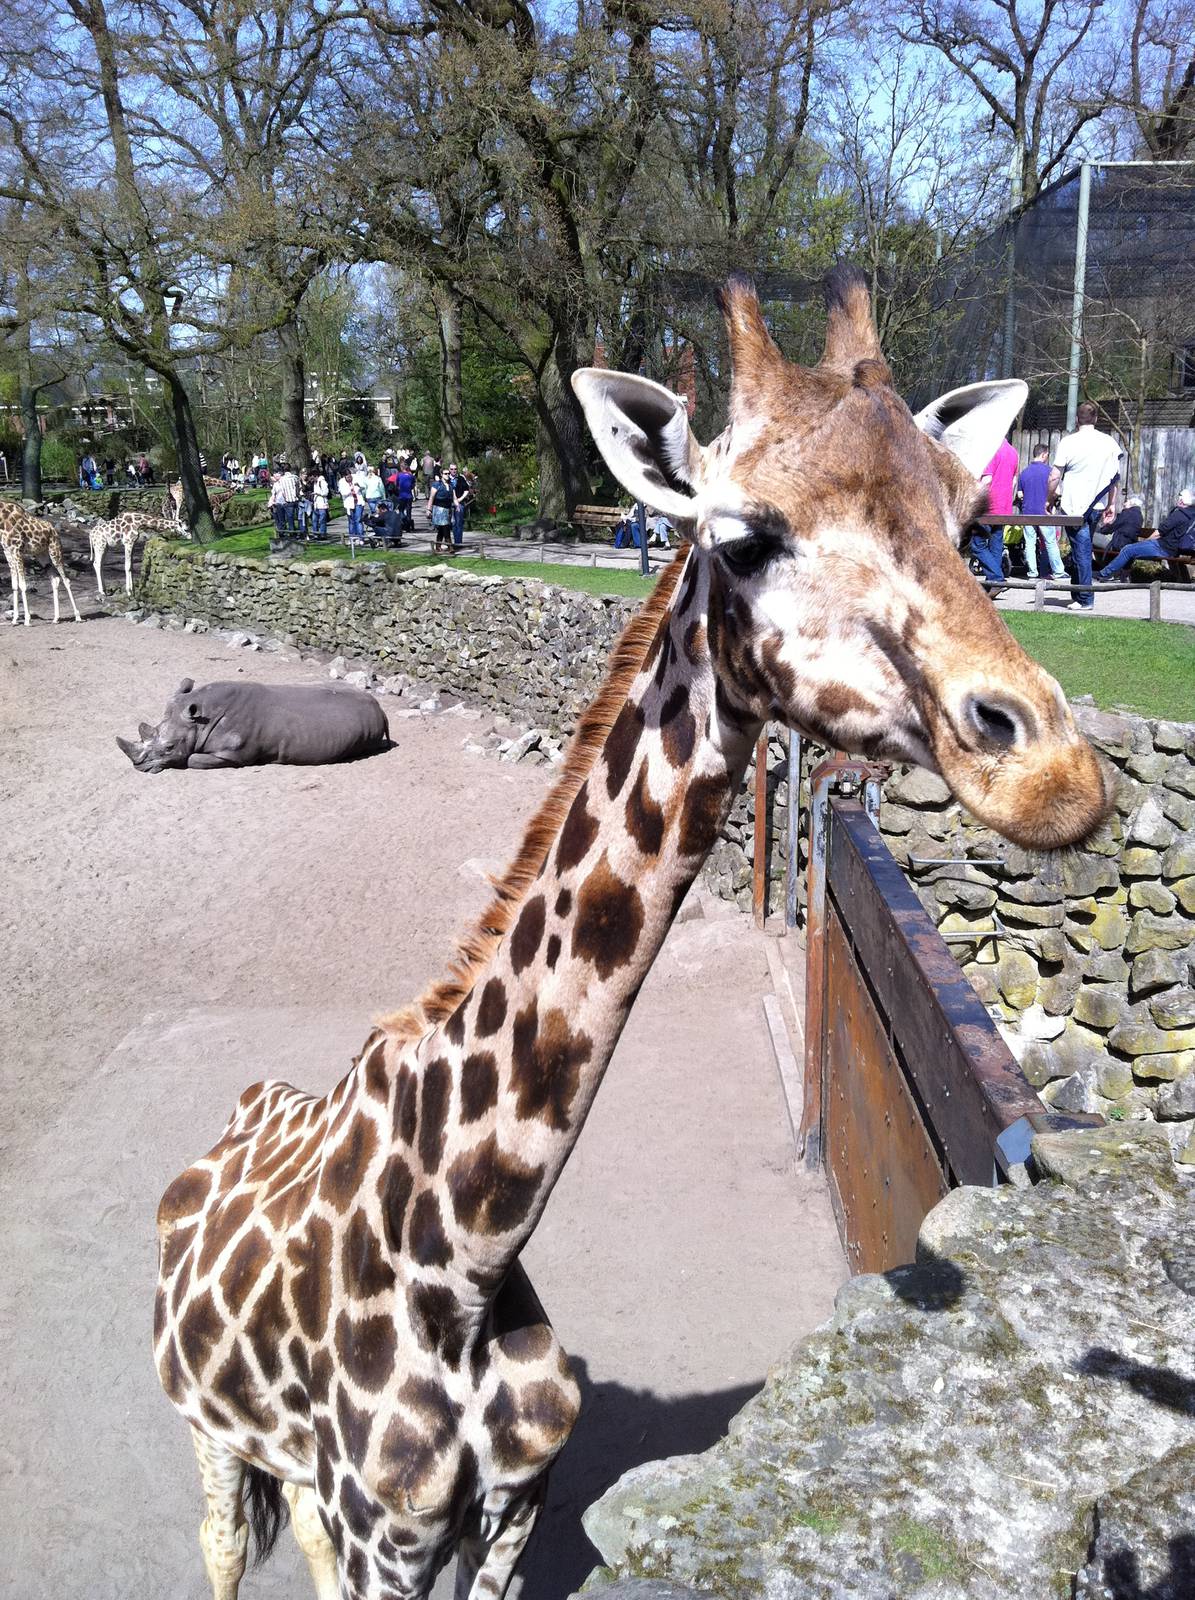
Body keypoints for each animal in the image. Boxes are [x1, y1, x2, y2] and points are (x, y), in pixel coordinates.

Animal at [152, 269, 1114, 1600]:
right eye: (744, 534)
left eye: (970, 512)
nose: (1055, 776)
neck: (463, 1261)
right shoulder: (386, 1535)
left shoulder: (509, 1515)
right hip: (205, 1426)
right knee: (217, 1542)